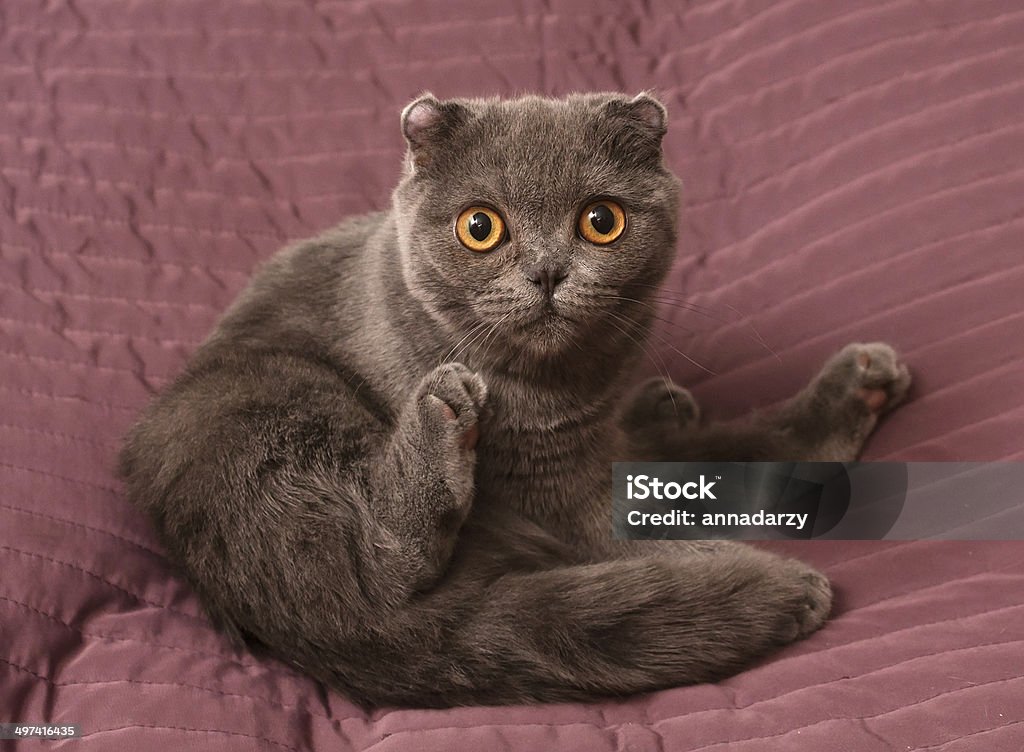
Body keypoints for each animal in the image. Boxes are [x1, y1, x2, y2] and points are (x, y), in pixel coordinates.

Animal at [119, 91, 913, 708]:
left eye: (601, 220)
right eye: (481, 226)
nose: (548, 273)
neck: (563, 389)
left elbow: (728, 450)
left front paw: (859, 385)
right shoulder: (553, 493)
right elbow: (628, 520)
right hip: (264, 402)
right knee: (373, 565)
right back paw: (442, 416)